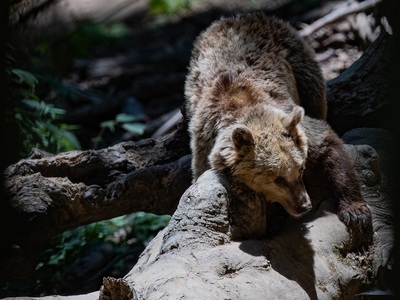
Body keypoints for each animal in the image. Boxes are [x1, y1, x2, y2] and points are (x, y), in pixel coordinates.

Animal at [184, 12, 372, 238]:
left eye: (300, 169)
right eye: (277, 179)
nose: (304, 205)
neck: (242, 105)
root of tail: (236, 17)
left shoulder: (295, 122)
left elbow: (328, 145)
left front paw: (355, 211)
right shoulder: (204, 142)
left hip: (297, 60)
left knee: (316, 95)